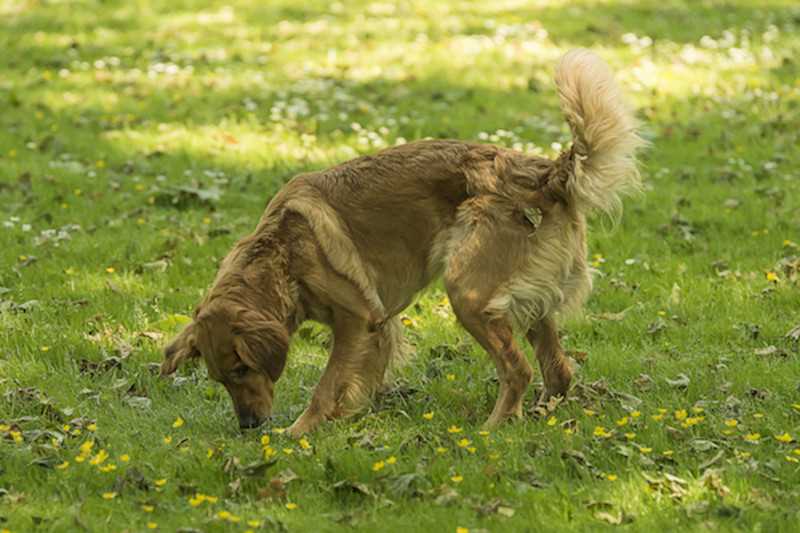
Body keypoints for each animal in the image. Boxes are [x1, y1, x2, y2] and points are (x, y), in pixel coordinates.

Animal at [161, 48, 644, 436]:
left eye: (243, 367)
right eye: (221, 379)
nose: (249, 426)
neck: (283, 253)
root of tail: (542, 172)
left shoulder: (358, 320)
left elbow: (325, 386)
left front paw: (299, 432)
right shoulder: (379, 326)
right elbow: (358, 381)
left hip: (468, 294)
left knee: (519, 370)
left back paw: (493, 428)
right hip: (525, 301)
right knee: (558, 371)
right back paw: (539, 417)